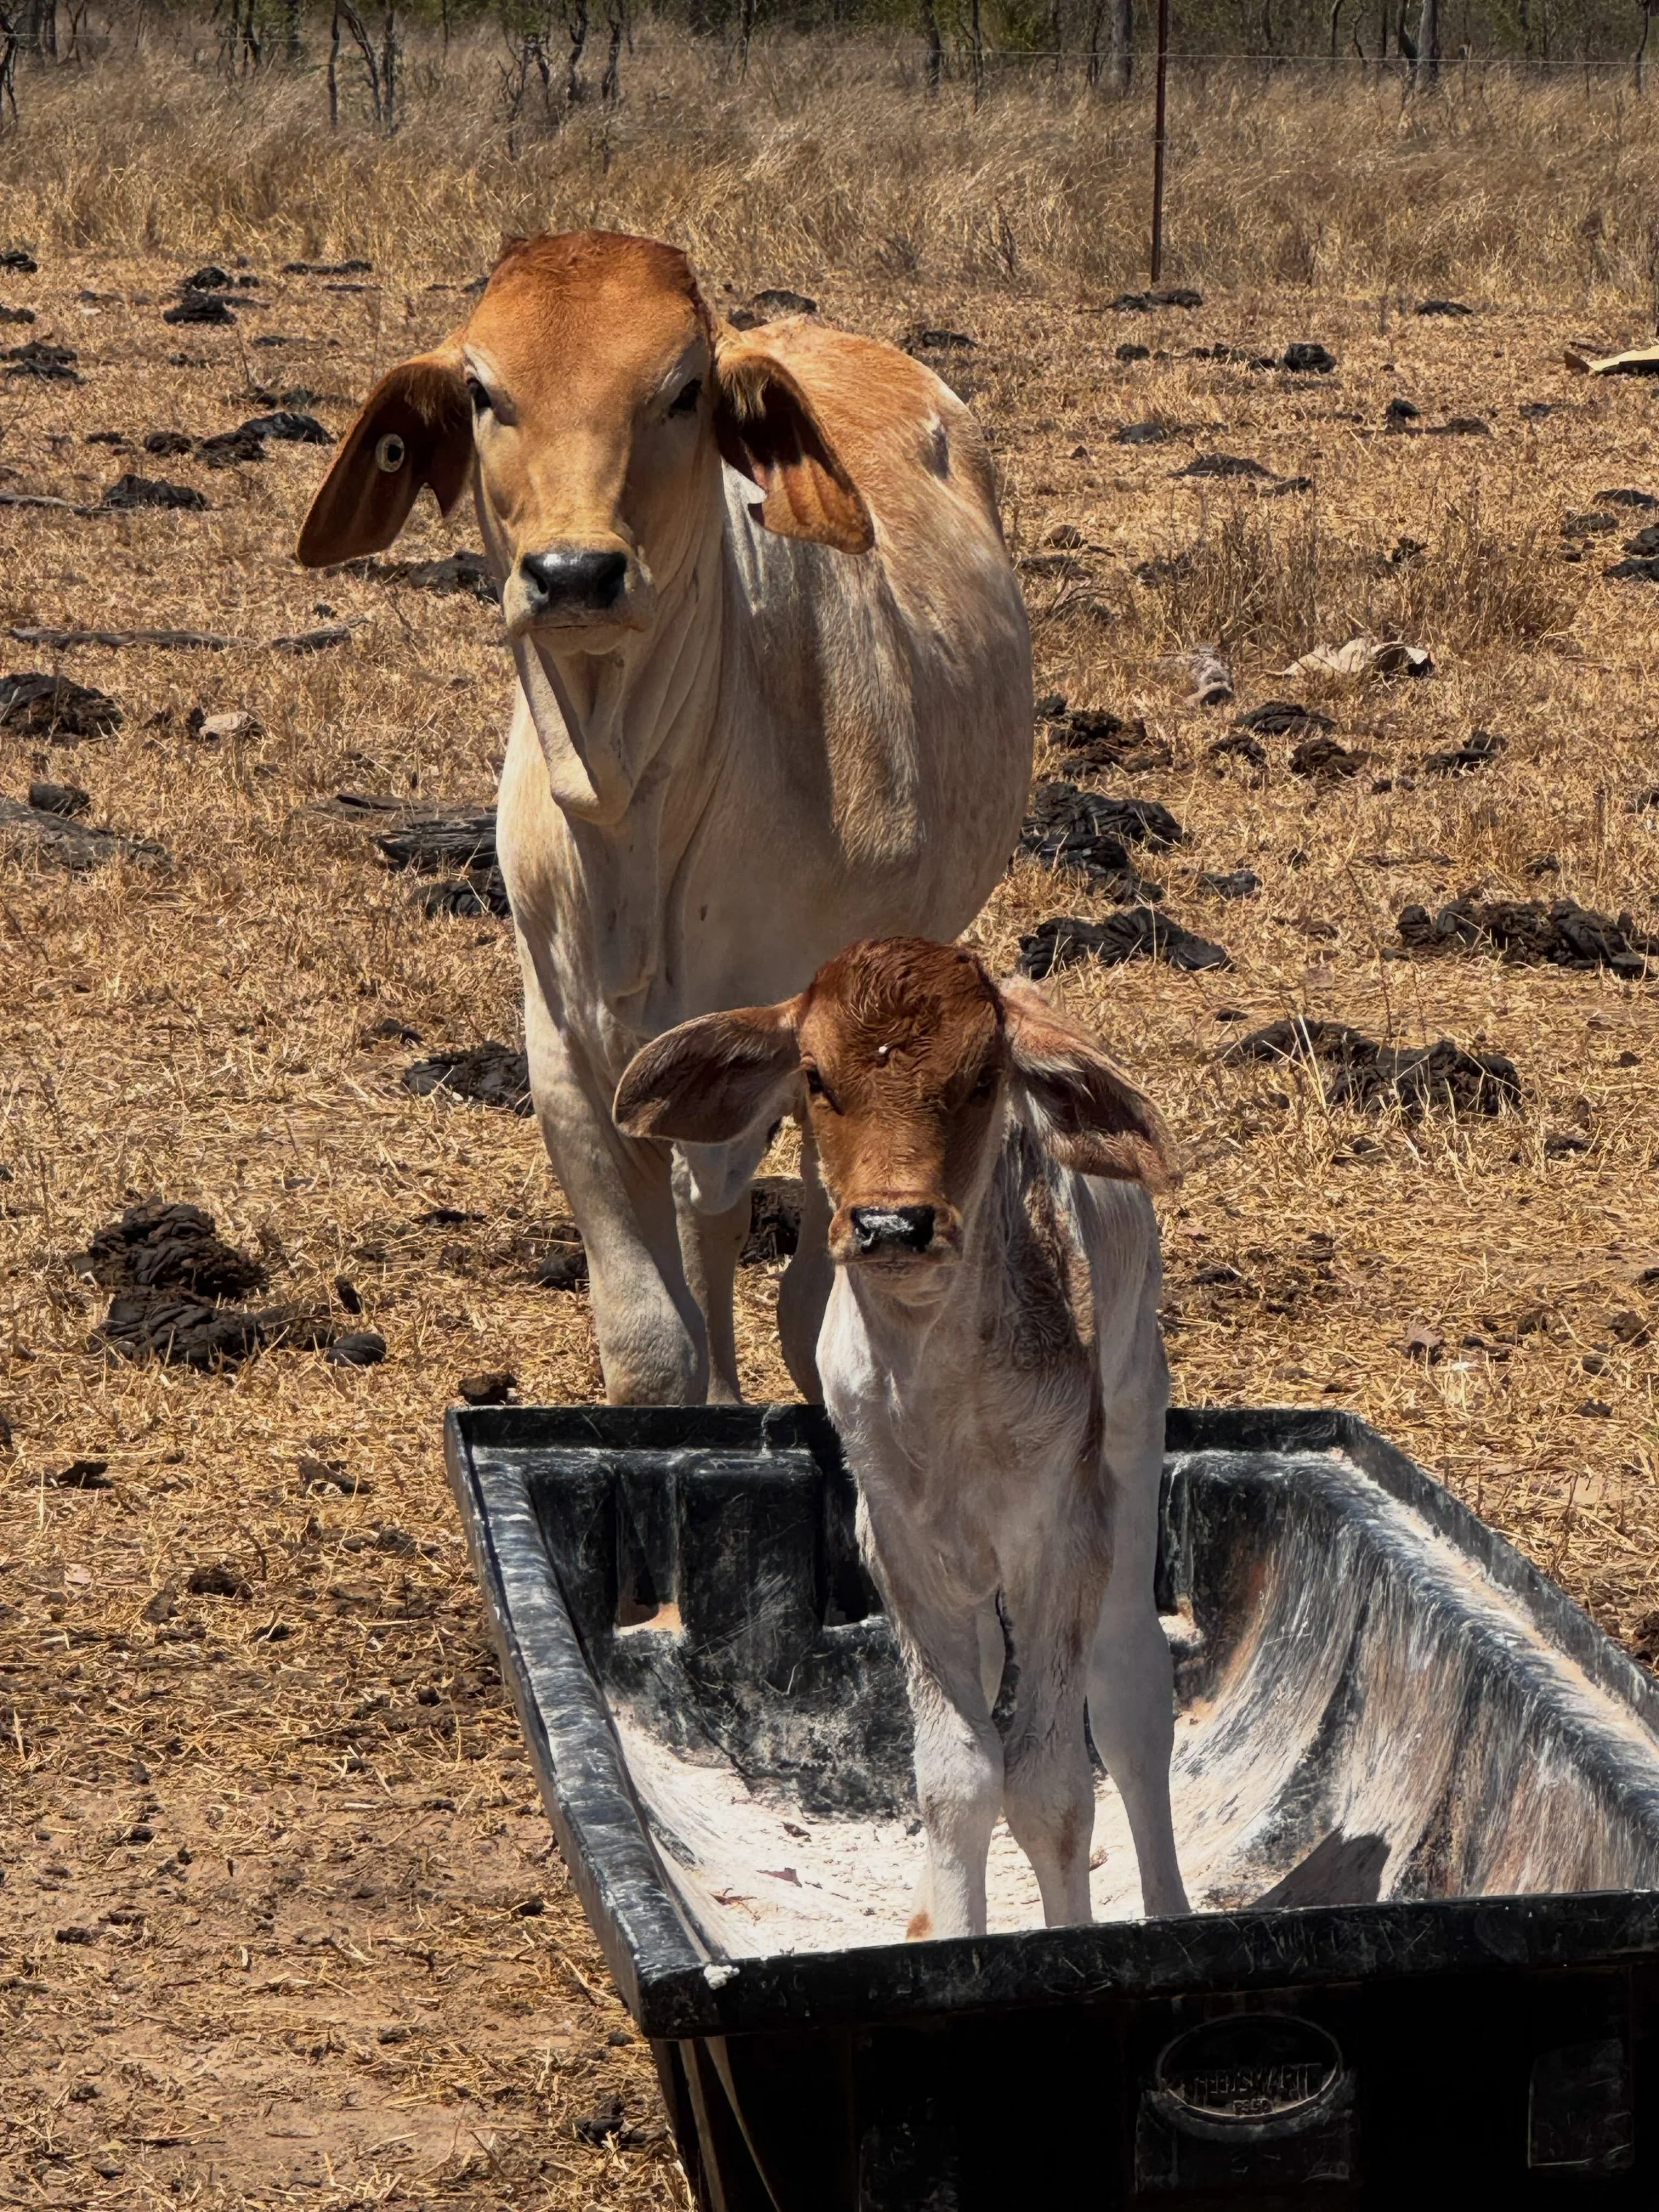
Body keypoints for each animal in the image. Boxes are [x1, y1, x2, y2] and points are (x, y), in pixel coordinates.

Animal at [296, 229, 1032, 1406]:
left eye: (684, 390)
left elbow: (743, 1241)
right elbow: (648, 1336)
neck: (627, 807)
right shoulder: (563, 1059)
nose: (573, 572)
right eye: (482, 390)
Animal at [613, 936, 1190, 1934]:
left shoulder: (1063, 1533)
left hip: (1132, 1420)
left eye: (984, 1078)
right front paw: (948, 1931)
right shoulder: (897, 1539)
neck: (940, 1385)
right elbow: (957, 1779)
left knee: (1130, 1690)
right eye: (814, 1075)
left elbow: (1050, 1789)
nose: (892, 1222)